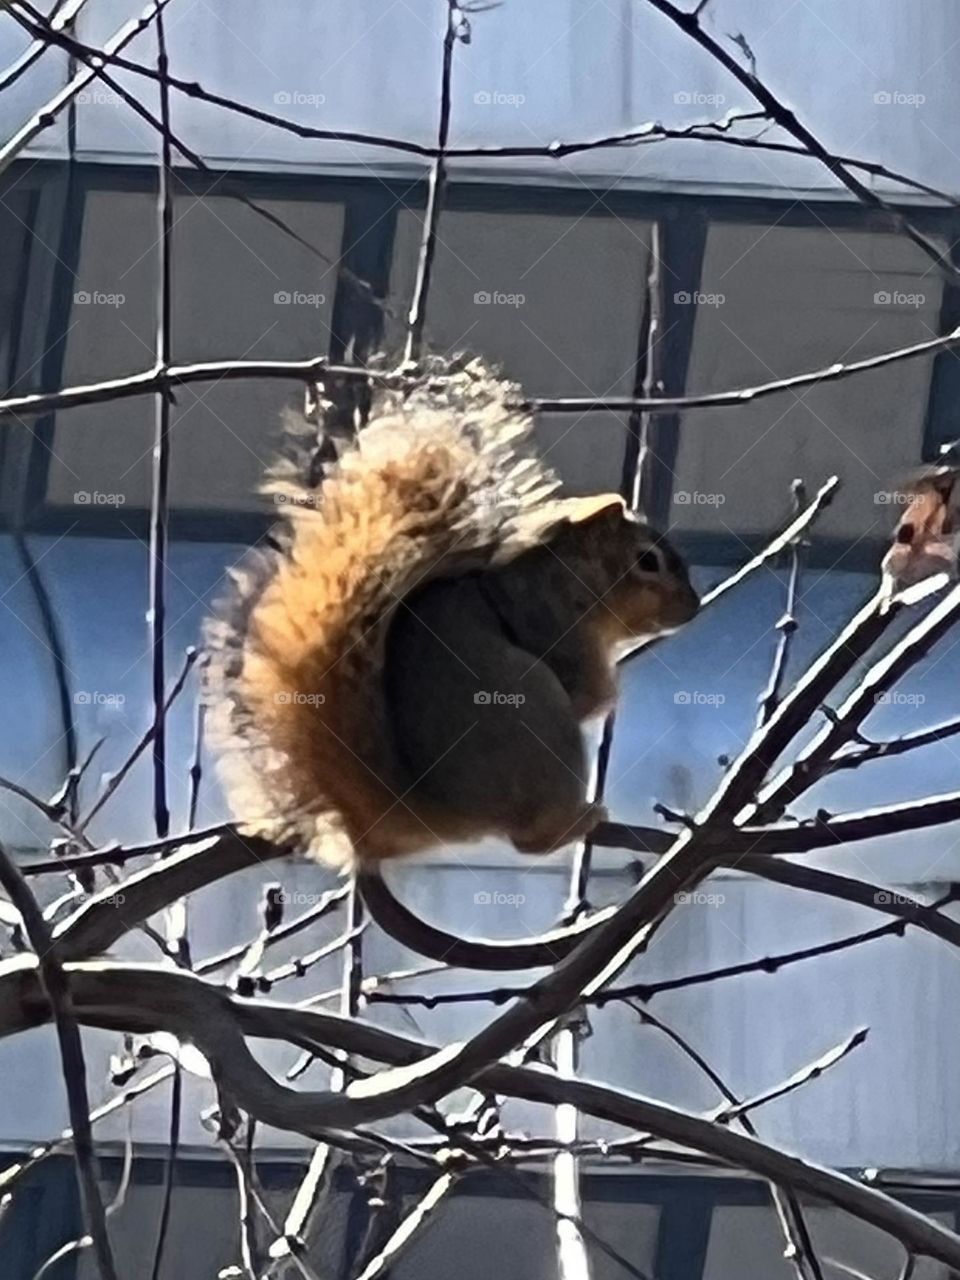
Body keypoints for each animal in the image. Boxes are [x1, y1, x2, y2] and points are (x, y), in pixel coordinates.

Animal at [205, 357, 699, 867]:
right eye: (647, 561)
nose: (694, 607)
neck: (571, 575)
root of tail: (436, 815)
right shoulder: (555, 623)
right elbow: (588, 692)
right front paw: (610, 689)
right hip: (537, 718)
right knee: (531, 840)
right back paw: (579, 821)